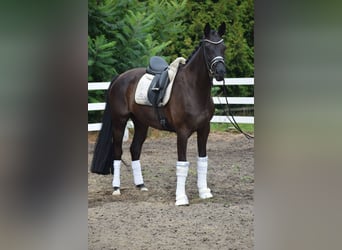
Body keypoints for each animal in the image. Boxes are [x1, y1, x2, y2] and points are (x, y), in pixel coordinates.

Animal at [90, 23, 227, 205]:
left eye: (223, 47)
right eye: (208, 47)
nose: (220, 72)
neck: (193, 89)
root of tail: (120, 77)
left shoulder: (204, 130)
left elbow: (202, 160)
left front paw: (204, 192)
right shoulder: (182, 133)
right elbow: (182, 164)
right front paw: (181, 198)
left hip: (141, 123)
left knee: (135, 149)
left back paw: (141, 185)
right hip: (119, 122)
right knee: (118, 151)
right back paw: (116, 189)